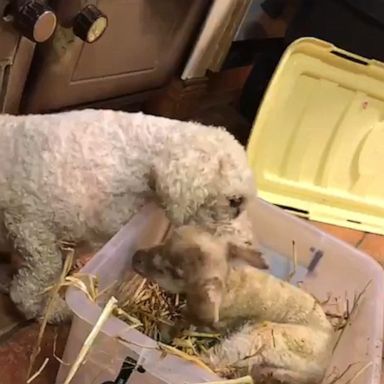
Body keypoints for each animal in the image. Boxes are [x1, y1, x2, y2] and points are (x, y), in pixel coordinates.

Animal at [133, 226, 336, 382]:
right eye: (168, 240)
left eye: (175, 272)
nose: (136, 256)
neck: (232, 283)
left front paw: (167, 331)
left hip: (259, 339)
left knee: (211, 360)